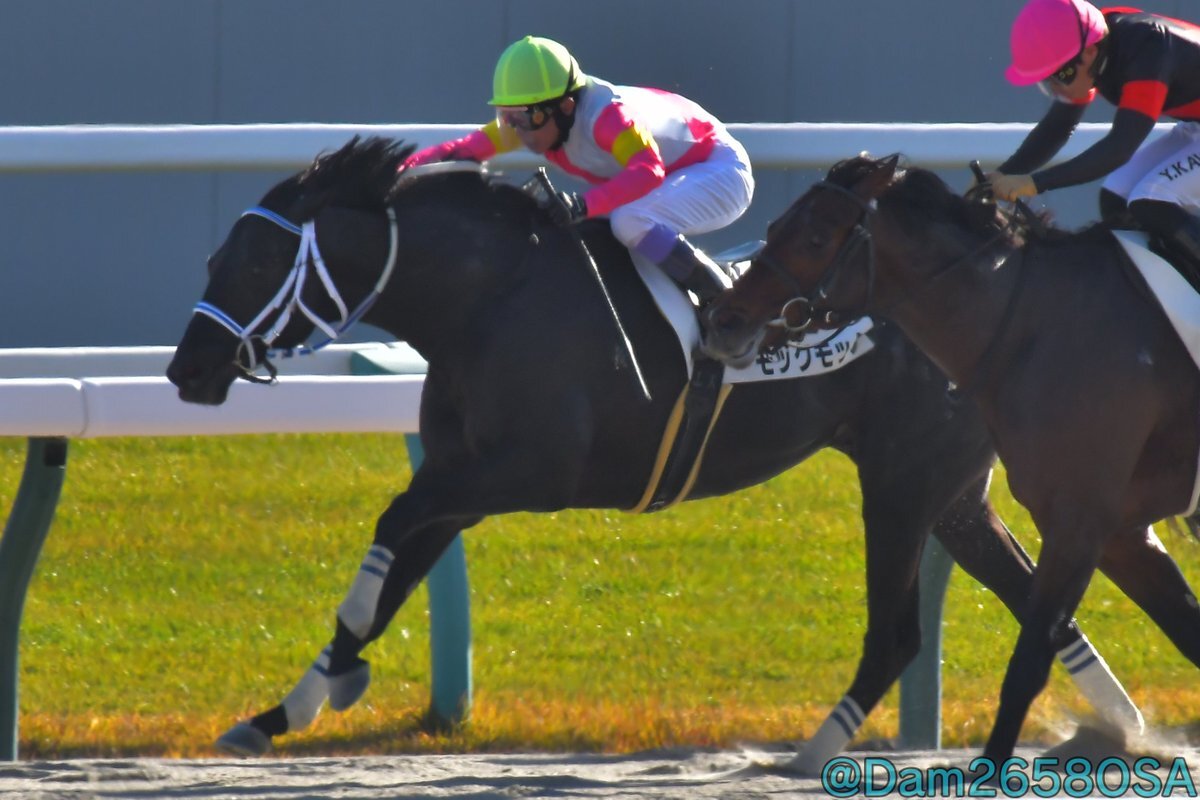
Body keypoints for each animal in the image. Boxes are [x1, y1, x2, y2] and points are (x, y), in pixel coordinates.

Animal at [166, 138, 1135, 764]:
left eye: (256, 267)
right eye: (215, 256)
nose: (187, 367)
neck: (490, 300)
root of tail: (1002, 293)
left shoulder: (528, 474)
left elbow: (392, 525)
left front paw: (337, 673)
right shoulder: (462, 477)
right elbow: (398, 565)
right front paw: (289, 705)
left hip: (901, 482)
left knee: (903, 631)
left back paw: (817, 749)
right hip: (952, 491)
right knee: (1039, 603)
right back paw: (1121, 726)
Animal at [700, 152, 1200, 770]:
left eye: (815, 237)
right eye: (773, 227)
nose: (722, 320)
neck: (1036, 325)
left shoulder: (1078, 520)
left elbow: (1026, 663)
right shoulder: (1116, 531)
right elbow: (1185, 629)